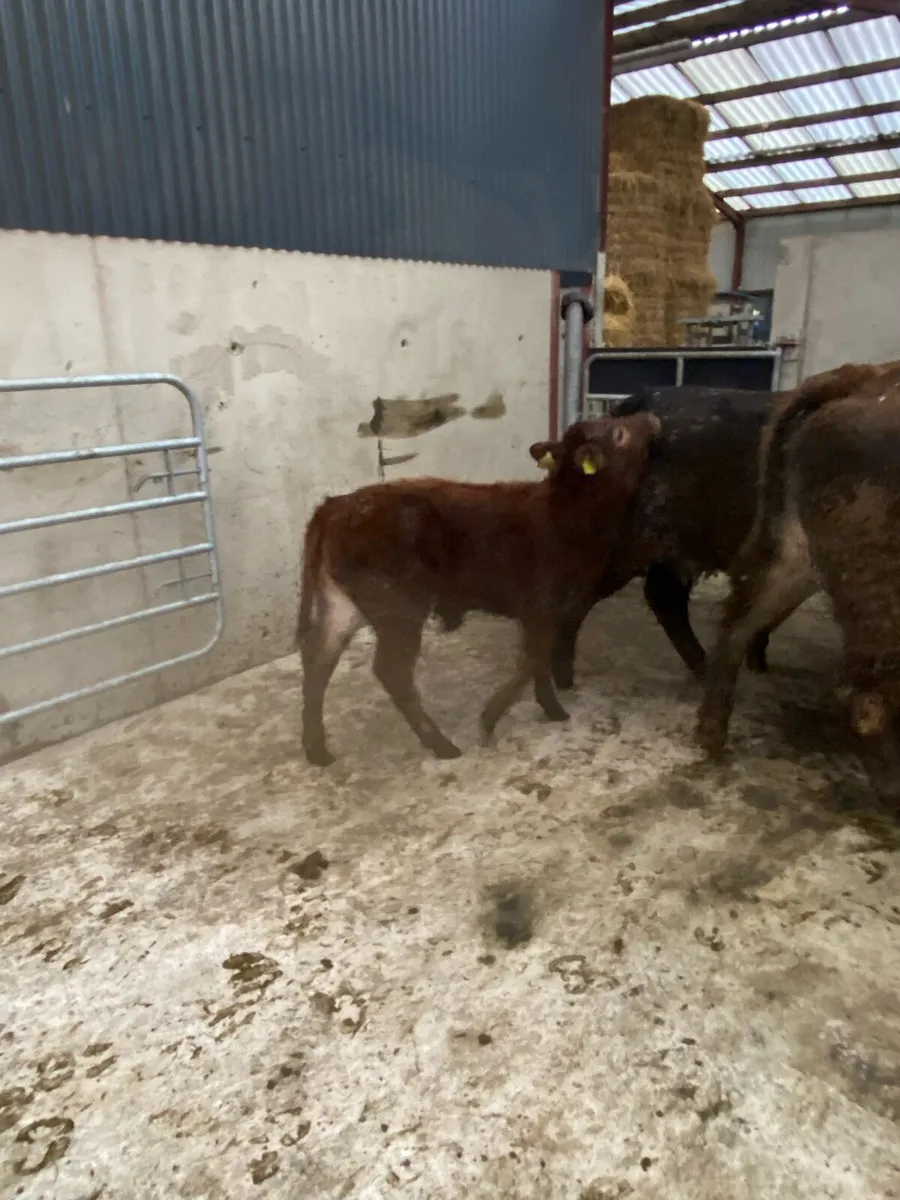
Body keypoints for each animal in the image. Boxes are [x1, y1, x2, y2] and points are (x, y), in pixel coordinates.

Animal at [297, 412, 660, 766]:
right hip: (398, 606)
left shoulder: (543, 612)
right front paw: (490, 718)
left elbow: (537, 663)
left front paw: (552, 709)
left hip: (343, 603)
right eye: (619, 433)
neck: (568, 511)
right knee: (391, 671)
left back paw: (316, 750)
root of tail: (336, 504)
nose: (652, 417)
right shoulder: (544, 606)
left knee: (319, 658)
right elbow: (533, 659)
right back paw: (441, 745)